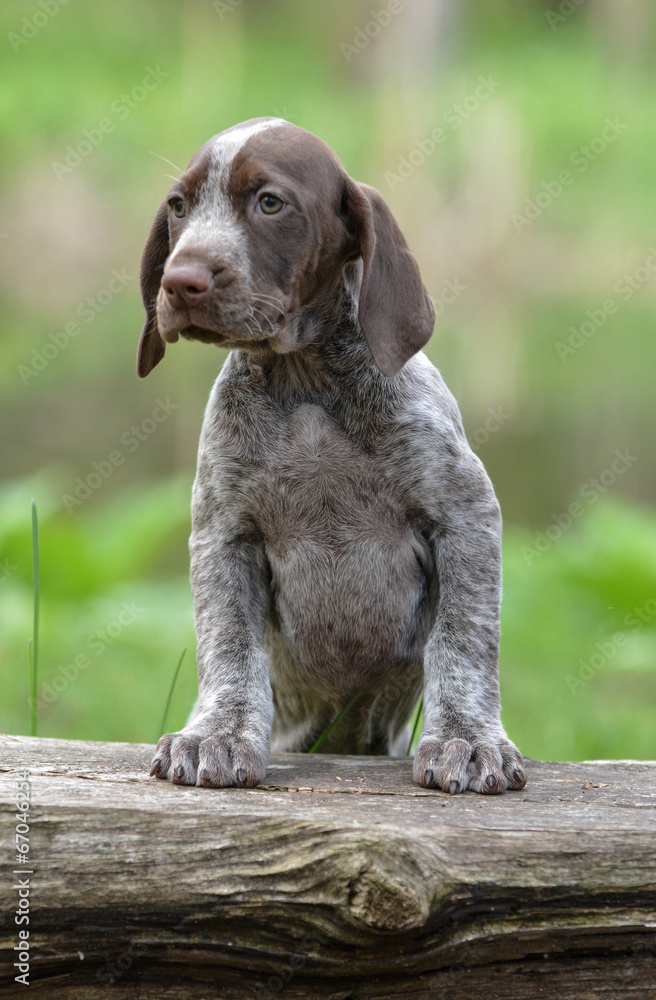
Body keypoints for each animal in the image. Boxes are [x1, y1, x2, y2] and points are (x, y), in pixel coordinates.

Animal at [138, 117, 528, 792]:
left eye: (270, 203)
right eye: (179, 207)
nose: (179, 282)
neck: (306, 386)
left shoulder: (466, 517)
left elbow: (463, 639)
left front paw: (468, 739)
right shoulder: (223, 536)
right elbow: (230, 646)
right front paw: (217, 733)